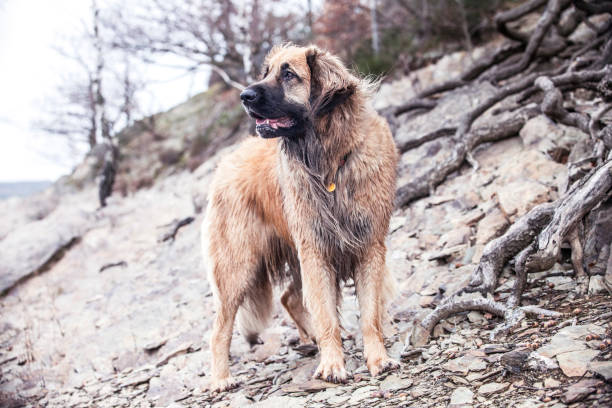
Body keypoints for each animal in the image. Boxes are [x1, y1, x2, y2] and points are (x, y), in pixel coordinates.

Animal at [203, 43, 400, 390]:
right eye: (266, 72)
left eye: (288, 75)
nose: (244, 96)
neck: (330, 159)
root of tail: (225, 163)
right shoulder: (316, 253)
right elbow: (327, 316)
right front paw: (333, 364)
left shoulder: (369, 248)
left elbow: (370, 314)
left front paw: (377, 359)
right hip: (239, 268)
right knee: (220, 329)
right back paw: (222, 379)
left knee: (289, 299)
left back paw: (310, 340)